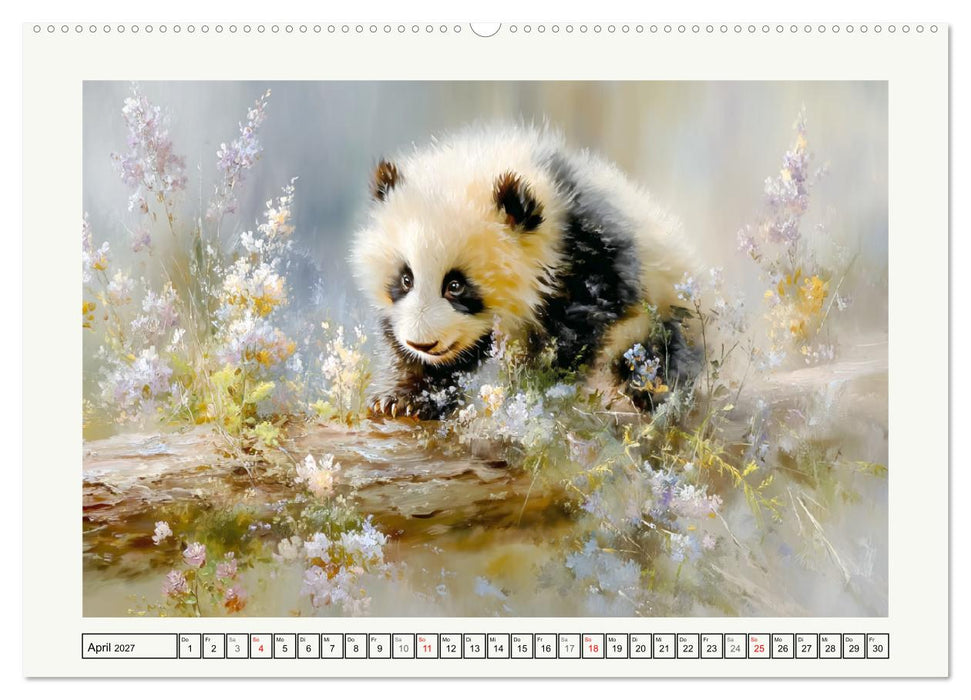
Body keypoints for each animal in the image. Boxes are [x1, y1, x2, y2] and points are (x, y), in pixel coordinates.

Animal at [350, 125, 700, 420]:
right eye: (405, 279)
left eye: (456, 285)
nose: (422, 344)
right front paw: (404, 398)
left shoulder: (593, 253)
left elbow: (574, 332)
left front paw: (536, 389)